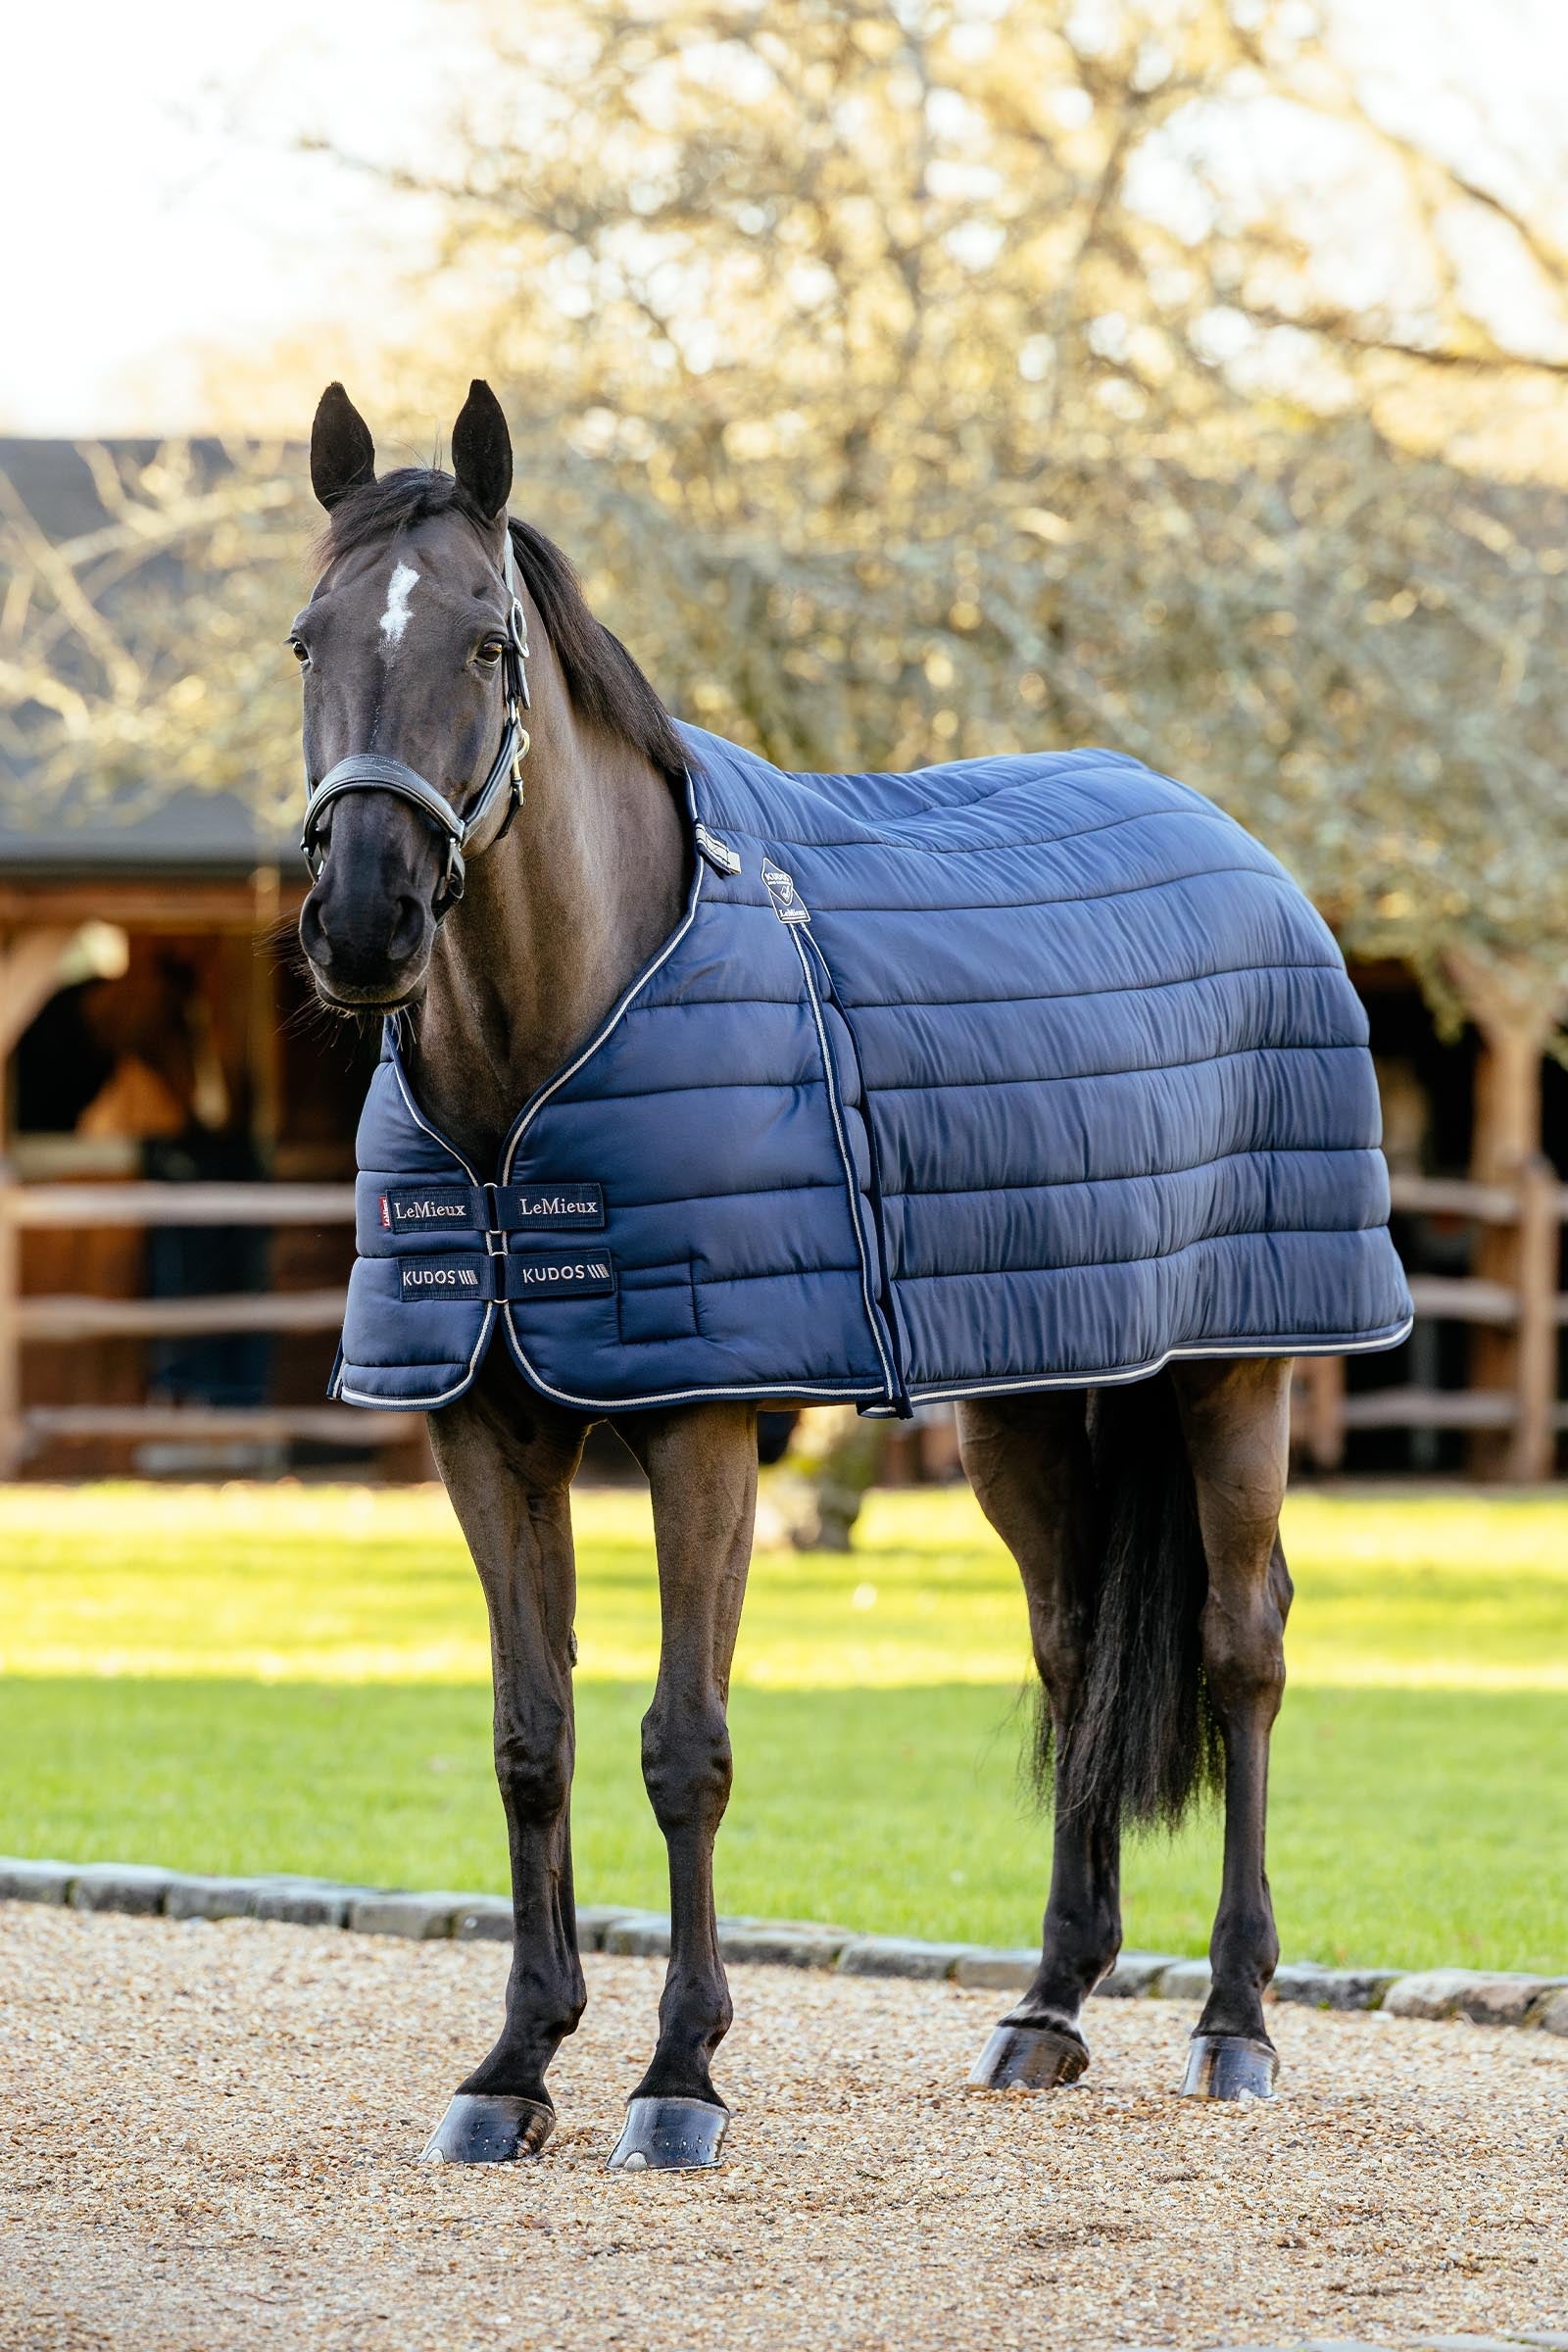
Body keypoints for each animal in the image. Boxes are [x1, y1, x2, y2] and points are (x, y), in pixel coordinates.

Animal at [292, 379, 1407, 2171]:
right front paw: (515, 2065)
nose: (366, 919)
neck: (540, 1065)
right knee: (1076, 1652)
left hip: (1237, 1376)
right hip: (1027, 1400)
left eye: (485, 642)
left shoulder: (698, 1420)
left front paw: (679, 2077)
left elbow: (684, 1747)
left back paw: (1236, 2022)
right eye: (308, 638)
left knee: (1245, 1649)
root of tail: (1249, 854)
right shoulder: (484, 1430)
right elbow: (533, 1741)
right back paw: (1048, 2008)